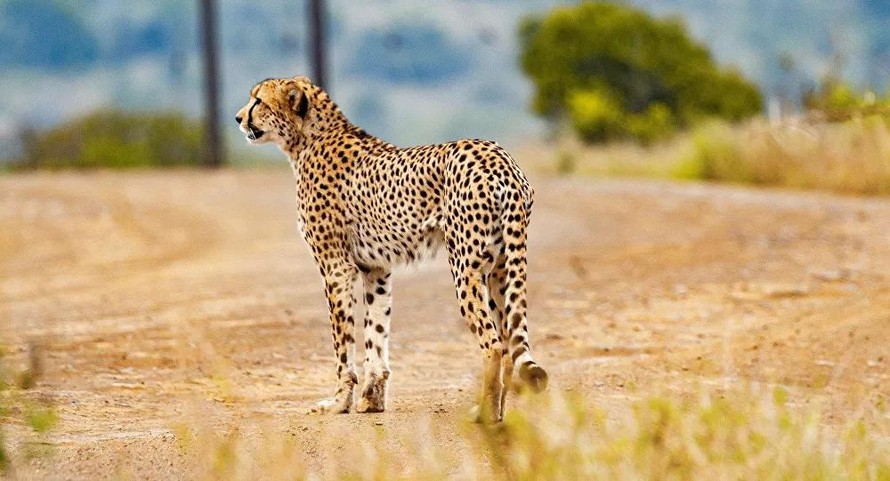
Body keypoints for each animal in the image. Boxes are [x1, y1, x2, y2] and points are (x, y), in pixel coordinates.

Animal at [235, 76, 548, 422]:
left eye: (258, 101)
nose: (238, 118)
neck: (307, 138)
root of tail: (500, 158)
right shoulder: (376, 269)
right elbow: (375, 332)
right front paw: (372, 399)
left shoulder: (336, 267)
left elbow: (343, 342)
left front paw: (339, 402)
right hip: (500, 269)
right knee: (507, 343)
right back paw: (500, 412)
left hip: (466, 268)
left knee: (493, 344)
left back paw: (485, 413)